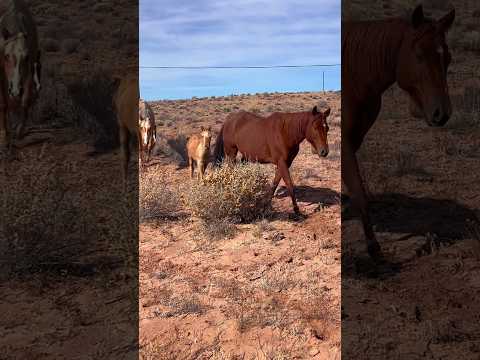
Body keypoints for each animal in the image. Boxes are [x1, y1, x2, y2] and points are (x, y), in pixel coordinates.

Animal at [342, 4, 454, 258]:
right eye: (419, 55)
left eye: (448, 58)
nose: (441, 113)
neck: (354, 75)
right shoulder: (344, 141)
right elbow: (359, 191)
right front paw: (373, 248)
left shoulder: (354, 138)